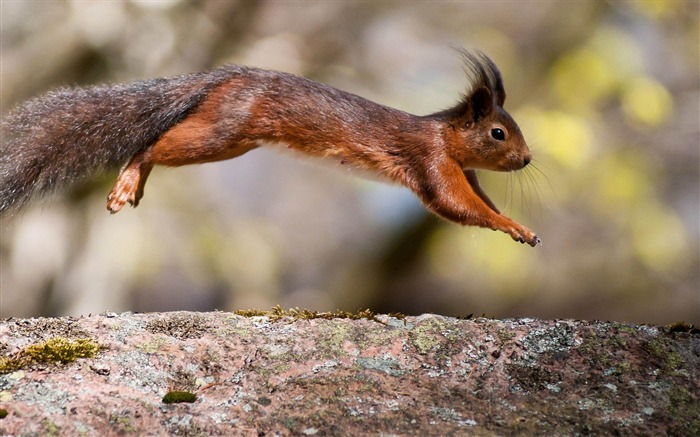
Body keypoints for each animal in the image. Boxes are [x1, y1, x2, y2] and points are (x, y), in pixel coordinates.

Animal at [0, 50, 540, 245]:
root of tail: (223, 78)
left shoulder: (464, 171)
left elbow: (477, 201)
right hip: (224, 131)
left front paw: (518, 224)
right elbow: (456, 205)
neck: (446, 136)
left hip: (229, 139)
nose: (527, 159)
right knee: (151, 146)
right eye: (499, 133)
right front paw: (513, 228)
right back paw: (129, 179)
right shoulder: (429, 161)